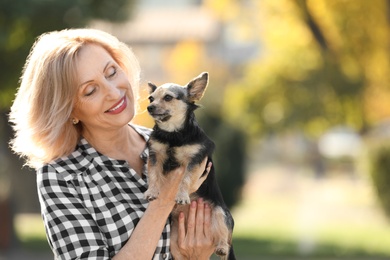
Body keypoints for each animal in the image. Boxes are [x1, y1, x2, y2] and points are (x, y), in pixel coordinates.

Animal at [143, 72, 235, 260]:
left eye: (168, 97)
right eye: (151, 98)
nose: (149, 107)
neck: (173, 134)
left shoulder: (195, 159)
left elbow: (185, 178)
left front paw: (182, 196)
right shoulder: (155, 154)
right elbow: (154, 174)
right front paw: (152, 191)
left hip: (221, 214)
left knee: (225, 241)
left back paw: (222, 247)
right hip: (175, 237)